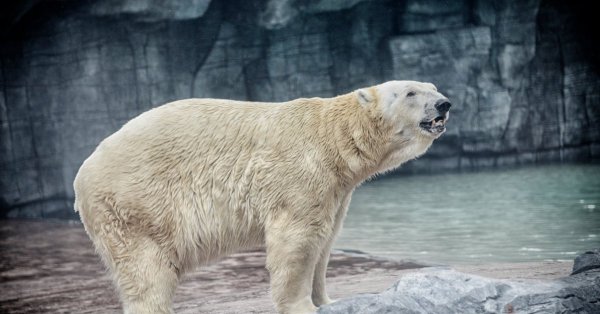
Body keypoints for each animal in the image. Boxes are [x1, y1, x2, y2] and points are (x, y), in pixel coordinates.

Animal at [72, 79, 450, 312]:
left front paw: (327, 301)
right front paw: (302, 306)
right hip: (137, 206)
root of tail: (82, 175)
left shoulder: (336, 190)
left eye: (432, 87)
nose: (444, 104)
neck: (333, 138)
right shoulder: (300, 173)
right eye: (410, 92)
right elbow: (297, 241)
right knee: (146, 271)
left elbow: (325, 242)